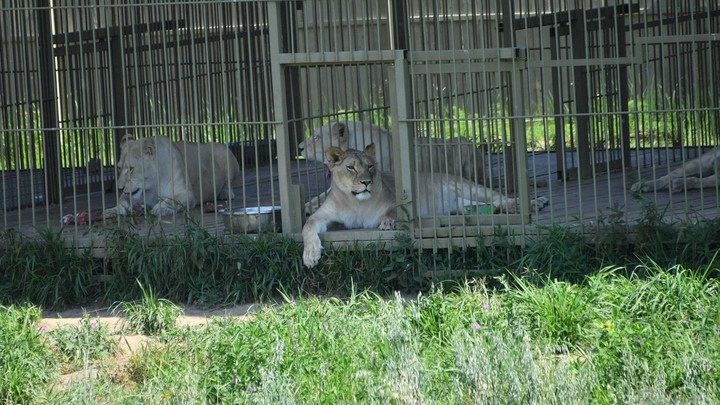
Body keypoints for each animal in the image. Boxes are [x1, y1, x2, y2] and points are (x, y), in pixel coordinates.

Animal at [102, 134, 242, 216]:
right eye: (119, 168)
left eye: (131, 169)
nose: (120, 188)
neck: (151, 185)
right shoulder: (131, 194)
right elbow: (122, 200)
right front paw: (113, 210)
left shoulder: (186, 193)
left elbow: (172, 200)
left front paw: (160, 208)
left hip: (223, 151)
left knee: (229, 183)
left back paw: (225, 193)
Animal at [300, 144, 548, 266]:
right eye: (351, 167)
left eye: (370, 167)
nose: (366, 182)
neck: (355, 202)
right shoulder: (324, 215)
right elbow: (307, 225)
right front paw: (310, 256)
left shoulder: (396, 199)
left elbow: (394, 211)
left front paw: (388, 223)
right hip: (465, 203)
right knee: (486, 207)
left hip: (469, 188)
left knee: (500, 197)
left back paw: (534, 203)